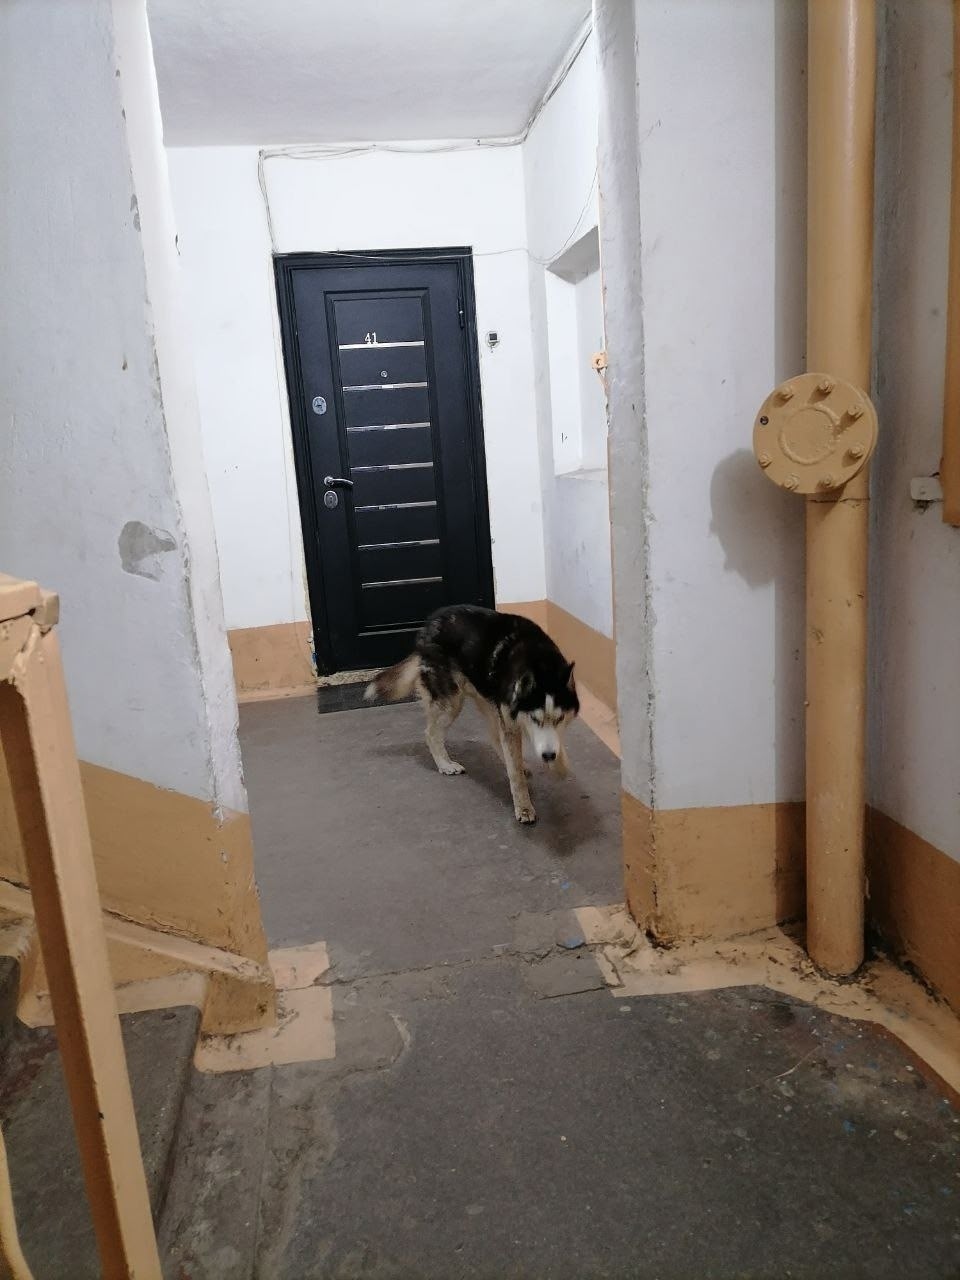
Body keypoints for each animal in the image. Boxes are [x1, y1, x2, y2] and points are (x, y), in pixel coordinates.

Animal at [364, 604, 579, 824]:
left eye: (560, 719)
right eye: (535, 719)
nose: (548, 755)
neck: (541, 664)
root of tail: (429, 624)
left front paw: (559, 765)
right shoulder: (511, 723)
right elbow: (515, 776)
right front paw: (524, 807)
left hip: (484, 698)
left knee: (493, 736)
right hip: (451, 703)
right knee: (431, 733)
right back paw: (445, 764)